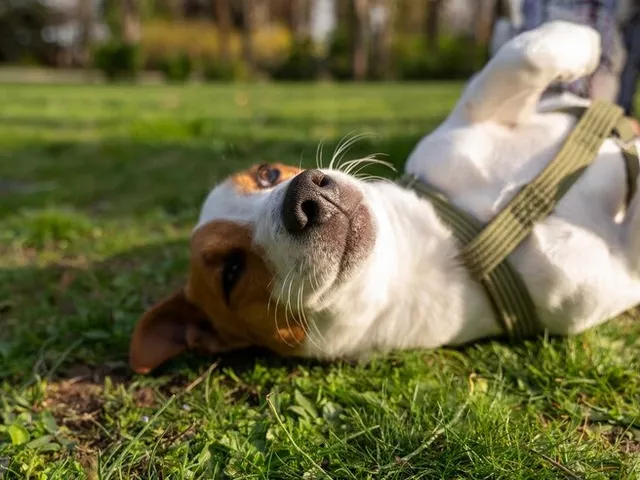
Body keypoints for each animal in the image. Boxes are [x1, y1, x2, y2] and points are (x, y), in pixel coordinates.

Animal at [129, 21, 640, 376]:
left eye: (267, 173)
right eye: (231, 273)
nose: (306, 197)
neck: (436, 248)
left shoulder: (472, 120)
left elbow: (521, 56)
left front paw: (583, 43)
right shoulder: (600, 283)